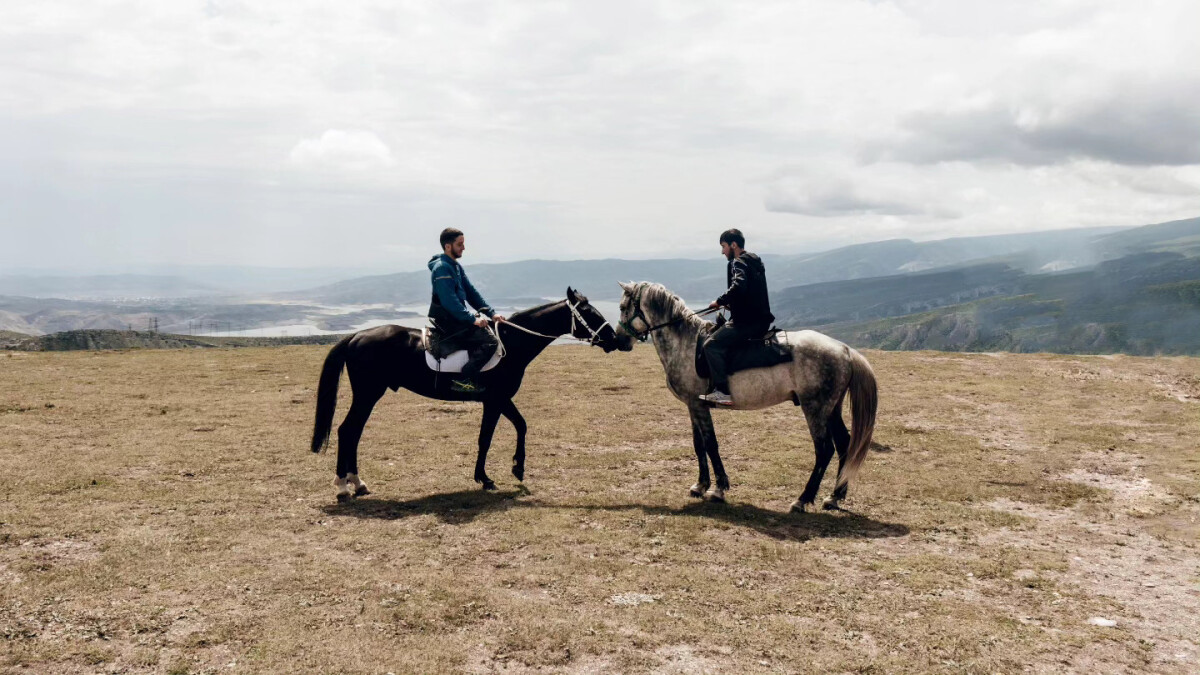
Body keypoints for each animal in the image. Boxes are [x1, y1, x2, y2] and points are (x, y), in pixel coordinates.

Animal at [309, 288, 619, 499]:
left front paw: (516, 468)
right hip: (368, 394)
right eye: (590, 313)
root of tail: (356, 336)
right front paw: (486, 478)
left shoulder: (500, 400)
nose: (616, 339)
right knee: (347, 430)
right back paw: (343, 486)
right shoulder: (495, 400)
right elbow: (487, 438)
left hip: (369, 395)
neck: (512, 344)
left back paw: (357, 483)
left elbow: (520, 425)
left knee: (353, 432)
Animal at [614, 279, 878, 509]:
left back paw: (802, 500)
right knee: (844, 444)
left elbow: (710, 444)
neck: (686, 344)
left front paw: (719, 488)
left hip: (815, 407)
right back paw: (834, 497)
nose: (618, 340)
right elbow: (699, 445)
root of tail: (844, 350)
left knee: (824, 450)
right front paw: (700, 485)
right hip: (831, 408)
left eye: (623, 307)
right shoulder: (692, 405)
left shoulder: (698, 406)